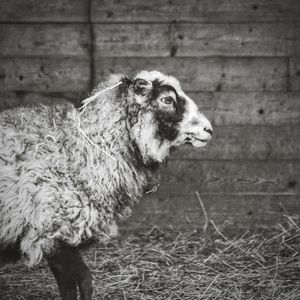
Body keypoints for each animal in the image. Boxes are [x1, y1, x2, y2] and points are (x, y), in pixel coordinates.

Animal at [0, 69, 212, 298]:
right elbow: (75, 284)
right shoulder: (53, 230)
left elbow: (83, 281)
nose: (208, 130)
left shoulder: (62, 236)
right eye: (167, 99)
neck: (86, 149)